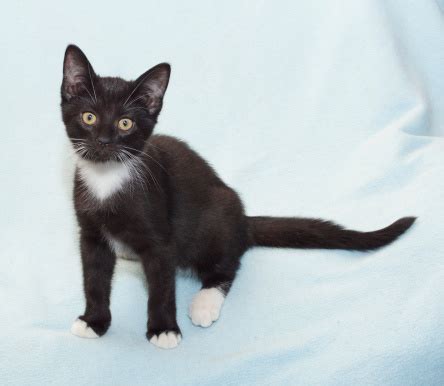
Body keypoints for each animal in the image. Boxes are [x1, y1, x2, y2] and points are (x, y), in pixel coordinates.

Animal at [61, 45, 416, 350]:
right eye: (89, 117)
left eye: (125, 123)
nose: (104, 142)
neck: (107, 180)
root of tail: (243, 219)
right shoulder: (90, 234)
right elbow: (94, 279)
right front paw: (94, 321)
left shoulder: (160, 237)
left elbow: (162, 286)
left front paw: (163, 329)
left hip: (212, 221)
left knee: (227, 264)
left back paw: (205, 302)